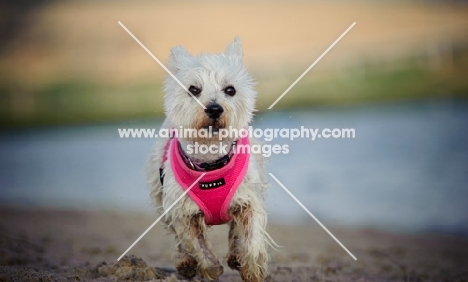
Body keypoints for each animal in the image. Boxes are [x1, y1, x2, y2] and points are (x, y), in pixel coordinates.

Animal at [147, 37, 274, 282]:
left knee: (235, 229)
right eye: (193, 89)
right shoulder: (181, 211)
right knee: (176, 236)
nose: (214, 109)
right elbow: (195, 243)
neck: (210, 158)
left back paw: (236, 256)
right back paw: (186, 263)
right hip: (160, 196)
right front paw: (211, 268)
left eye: (230, 90)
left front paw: (252, 270)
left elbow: (251, 237)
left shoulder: (250, 200)